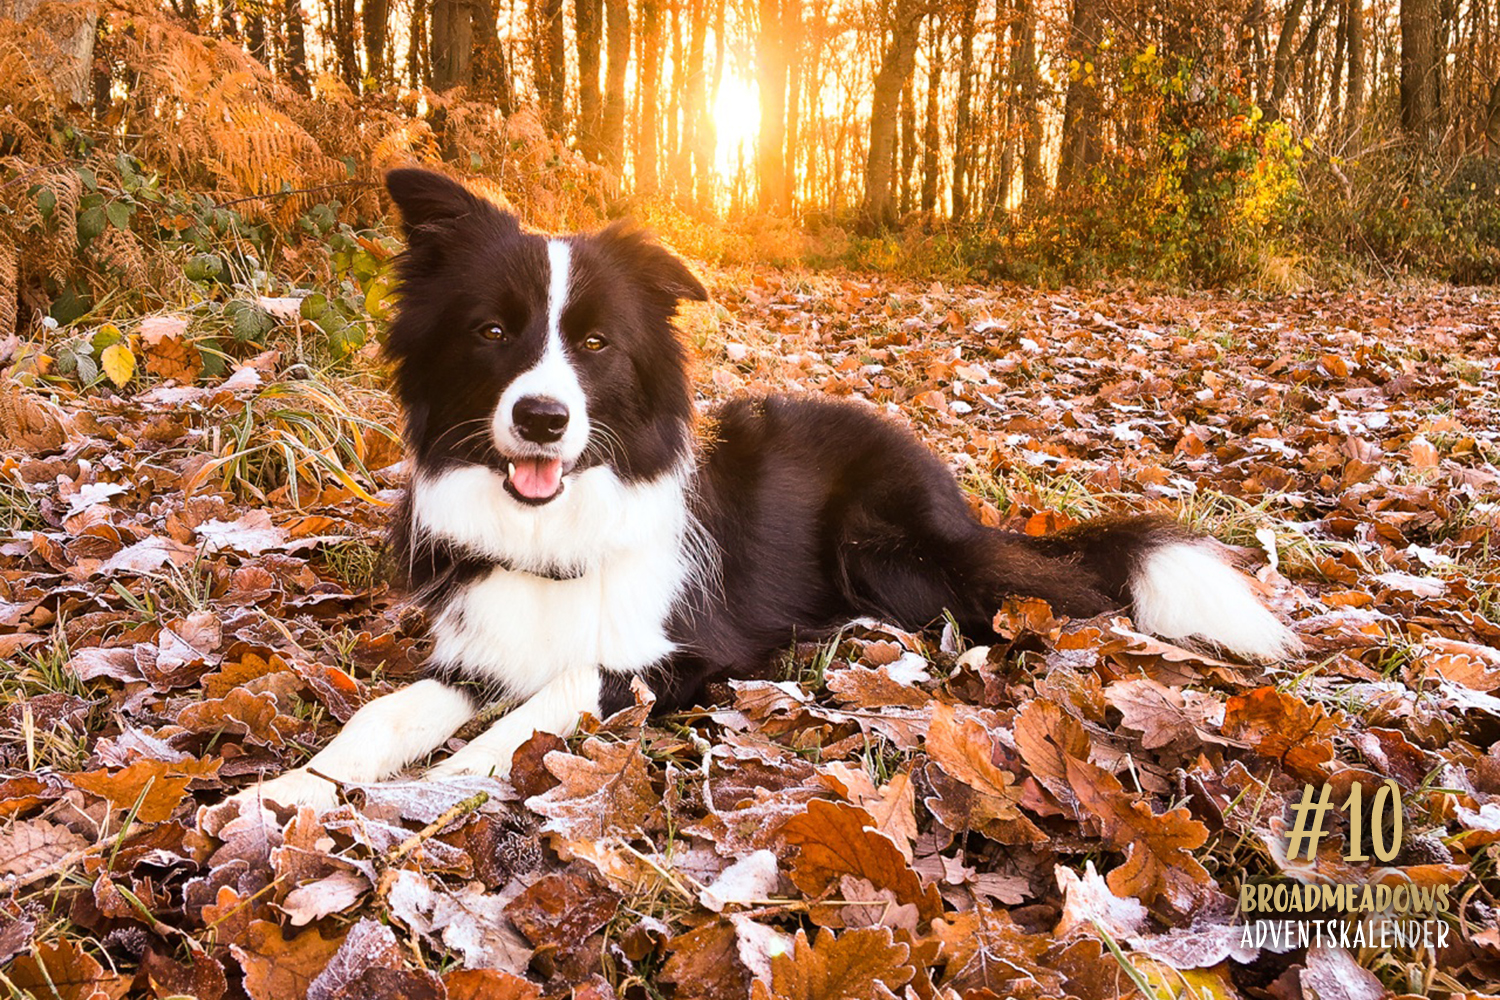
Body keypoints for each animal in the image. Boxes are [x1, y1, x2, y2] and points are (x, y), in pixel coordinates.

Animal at [243, 167, 1302, 815]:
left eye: (595, 344)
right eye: (493, 333)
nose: (542, 418)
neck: (558, 525)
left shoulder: (670, 653)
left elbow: (547, 701)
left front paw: (436, 788)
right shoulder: (479, 645)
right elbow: (385, 715)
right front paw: (291, 791)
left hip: (883, 541)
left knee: (984, 606)